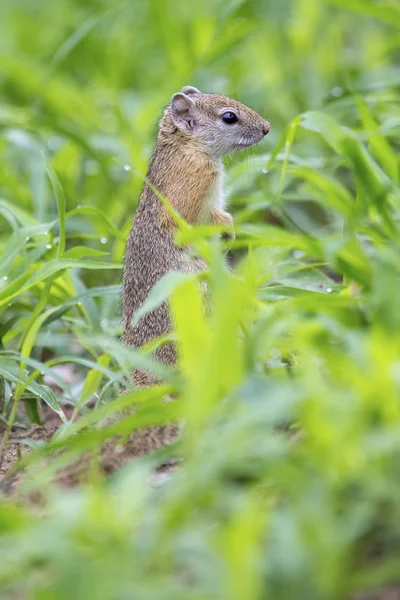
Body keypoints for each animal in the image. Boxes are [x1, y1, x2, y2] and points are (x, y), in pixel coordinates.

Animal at [123, 84, 270, 384]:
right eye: (229, 117)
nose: (267, 128)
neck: (186, 147)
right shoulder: (191, 185)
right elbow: (194, 221)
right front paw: (228, 228)